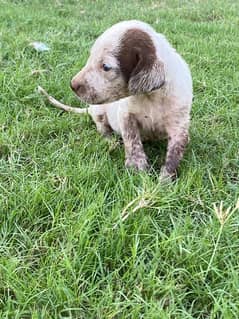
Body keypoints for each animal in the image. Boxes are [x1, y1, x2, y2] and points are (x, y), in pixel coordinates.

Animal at [47, 20, 194, 180]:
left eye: (105, 66)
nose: (72, 85)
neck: (151, 96)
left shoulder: (179, 125)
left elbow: (174, 153)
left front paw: (165, 179)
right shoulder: (126, 114)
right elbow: (132, 139)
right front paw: (137, 167)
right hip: (99, 110)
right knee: (102, 128)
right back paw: (111, 141)